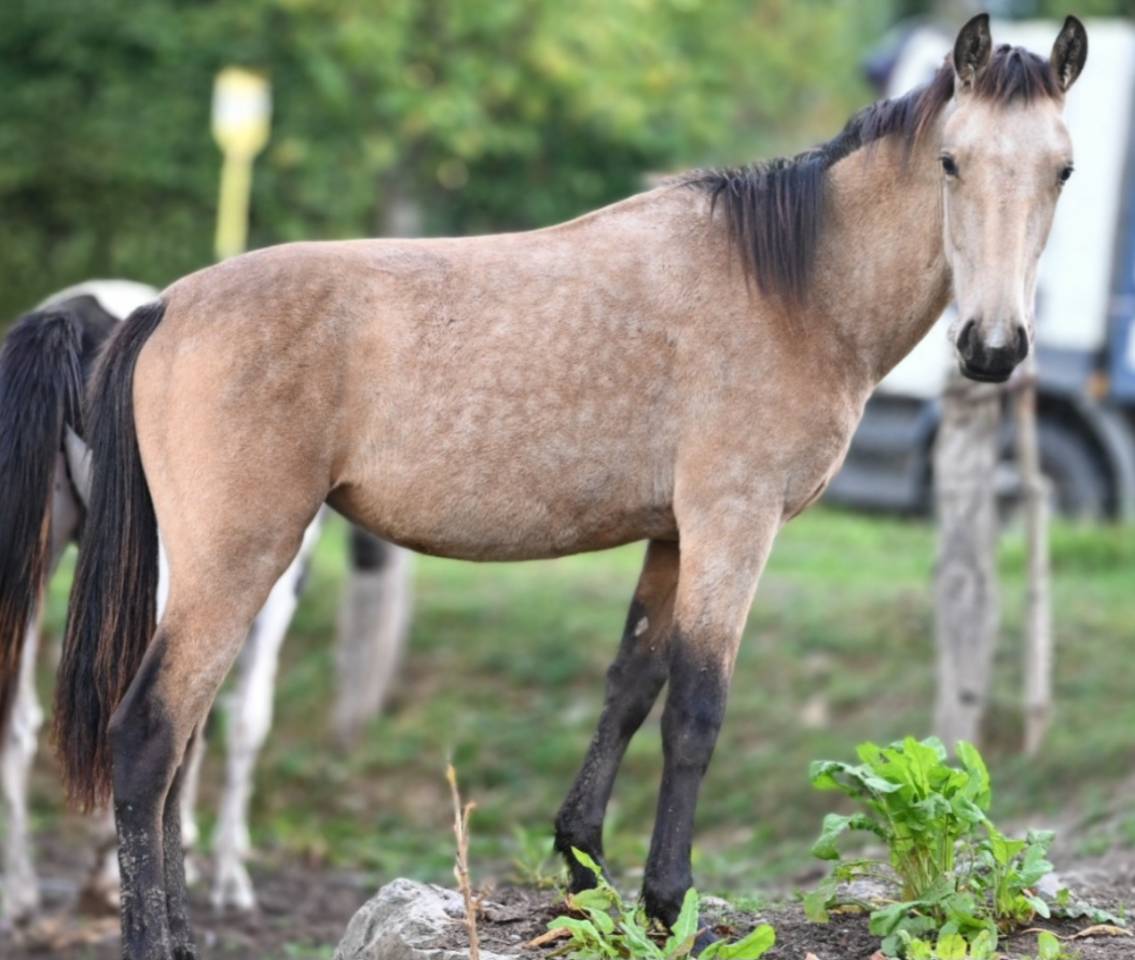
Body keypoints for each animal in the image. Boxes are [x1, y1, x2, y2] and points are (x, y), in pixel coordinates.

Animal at [0, 282, 412, 923]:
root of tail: (71, 313)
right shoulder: (267, 591)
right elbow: (241, 722)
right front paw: (223, 872)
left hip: (39, 555)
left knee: (19, 719)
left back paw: (18, 890)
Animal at [45, 15, 1087, 958]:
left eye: (1062, 171)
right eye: (950, 161)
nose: (993, 348)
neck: (790, 291)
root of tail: (161, 307)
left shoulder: (674, 535)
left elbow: (629, 686)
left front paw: (586, 870)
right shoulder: (732, 523)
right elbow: (695, 710)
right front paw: (669, 903)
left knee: (180, 749)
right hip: (237, 561)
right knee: (149, 741)